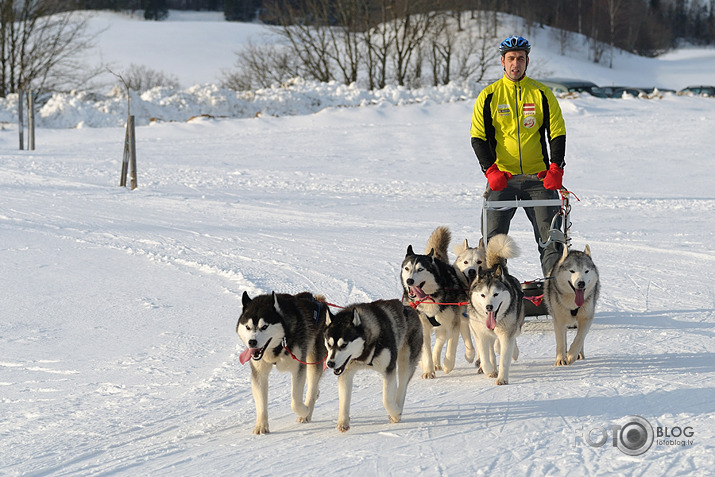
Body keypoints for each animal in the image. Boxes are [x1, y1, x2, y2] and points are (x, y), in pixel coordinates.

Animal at [236, 290, 326, 432]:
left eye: (264, 326)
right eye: (248, 327)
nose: (252, 342)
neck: (279, 345)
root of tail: (320, 302)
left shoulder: (298, 368)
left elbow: (295, 402)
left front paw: (305, 410)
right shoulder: (259, 373)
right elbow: (261, 402)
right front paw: (261, 426)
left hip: (313, 359)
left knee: (312, 386)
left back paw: (307, 412)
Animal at [324, 302, 422, 432]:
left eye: (344, 345)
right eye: (329, 344)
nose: (330, 363)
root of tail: (408, 307)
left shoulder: (388, 370)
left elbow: (386, 399)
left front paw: (395, 413)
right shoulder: (345, 373)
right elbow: (344, 399)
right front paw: (343, 422)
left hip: (405, 361)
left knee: (402, 386)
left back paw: (397, 409)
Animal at [402, 225, 470, 378]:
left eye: (420, 269)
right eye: (407, 268)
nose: (409, 281)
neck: (430, 296)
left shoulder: (453, 323)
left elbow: (451, 346)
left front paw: (448, 365)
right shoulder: (423, 327)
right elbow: (426, 350)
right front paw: (428, 370)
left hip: (444, 325)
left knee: (440, 342)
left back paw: (439, 363)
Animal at [468, 232, 524, 384]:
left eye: (496, 294)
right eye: (482, 295)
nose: (489, 307)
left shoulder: (507, 333)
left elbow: (504, 357)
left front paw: (502, 378)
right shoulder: (481, 334)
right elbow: (485, 356)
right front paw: (488, 369)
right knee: (491, 352)